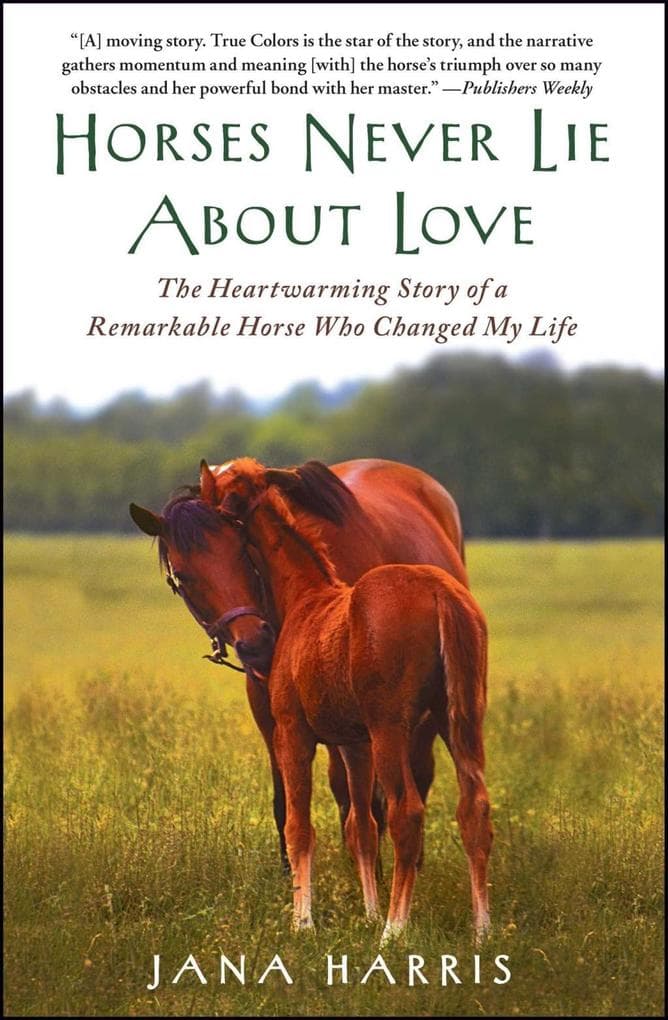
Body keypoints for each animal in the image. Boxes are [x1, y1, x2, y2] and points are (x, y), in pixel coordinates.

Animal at [133, 460, 491, 942]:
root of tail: (440, 592)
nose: (255, 644)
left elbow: (300, 824)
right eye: (184, 577)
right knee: (473, 808)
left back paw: (395, 929)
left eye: (241, 552)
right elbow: (358, 823)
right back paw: (481, 929)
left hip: (395, 730)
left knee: (408, 810)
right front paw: (365, 908)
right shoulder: (351, 742)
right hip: (460, 721)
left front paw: (303, 920)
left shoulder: (295, 732)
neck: (307, 595)